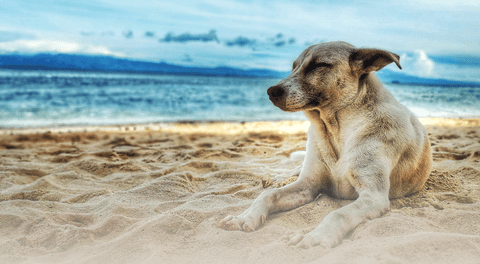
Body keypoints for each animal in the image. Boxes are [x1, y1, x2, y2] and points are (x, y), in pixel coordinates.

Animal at [218, 40, 432, 249]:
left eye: (319, 65)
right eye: (294, 67)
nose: (271, 91)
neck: (334, 130)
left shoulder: (373, 196)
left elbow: (337, 214)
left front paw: (315, 238)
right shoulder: (308, 185)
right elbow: (269, 195)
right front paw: (244, 217)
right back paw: (276, 177)